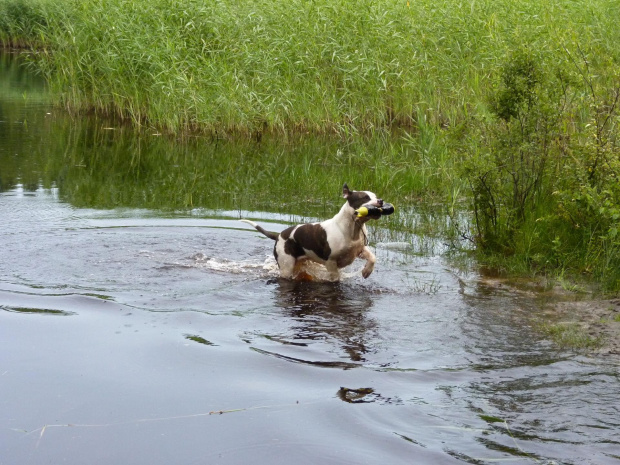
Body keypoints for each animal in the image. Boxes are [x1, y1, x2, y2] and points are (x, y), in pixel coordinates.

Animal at [241, 184, 388, 280]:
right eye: (365, 197)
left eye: (375, 196)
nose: (380, 200)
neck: (353, 228)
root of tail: (279, 235)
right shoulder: (331, 262)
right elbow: (335, 277)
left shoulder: (359, 250)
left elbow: (372, 257)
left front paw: (367, 271)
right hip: (286, 266)